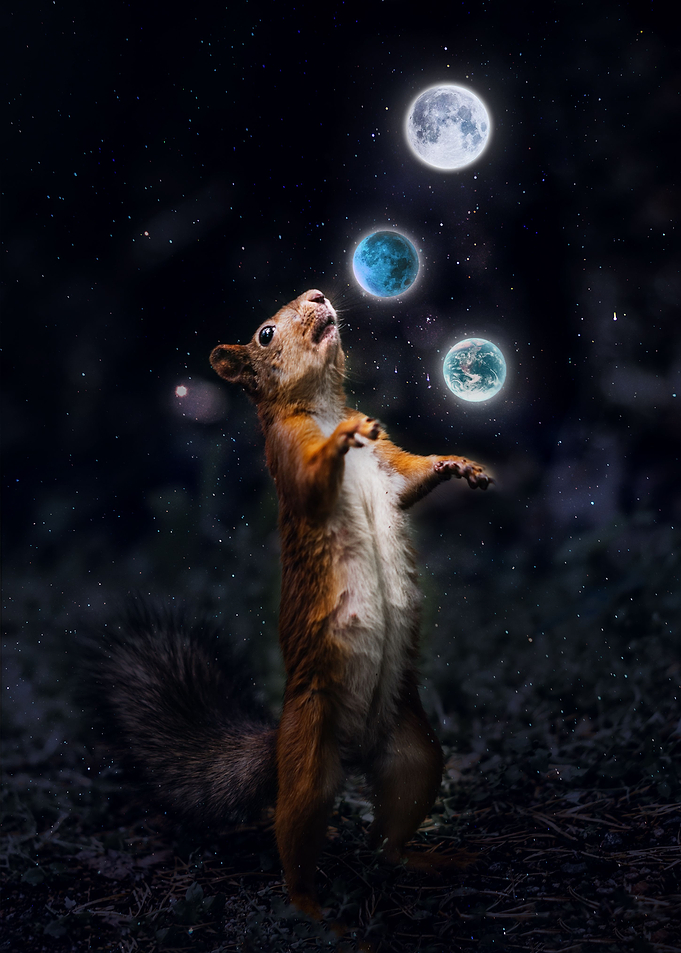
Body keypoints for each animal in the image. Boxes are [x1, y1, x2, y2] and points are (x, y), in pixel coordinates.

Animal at [90, 289, 493, 921]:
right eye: (264, 334)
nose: (318, 295)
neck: (321, 405)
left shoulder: (388, 462)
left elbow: (411, 477)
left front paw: (457, 464)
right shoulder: (287, 454)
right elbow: (309, 481)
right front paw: (342, 438)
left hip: (416, 755)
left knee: (388, 840)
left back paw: (430, 861)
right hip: (308, 761)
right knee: (295, 839)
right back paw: (316, 913)